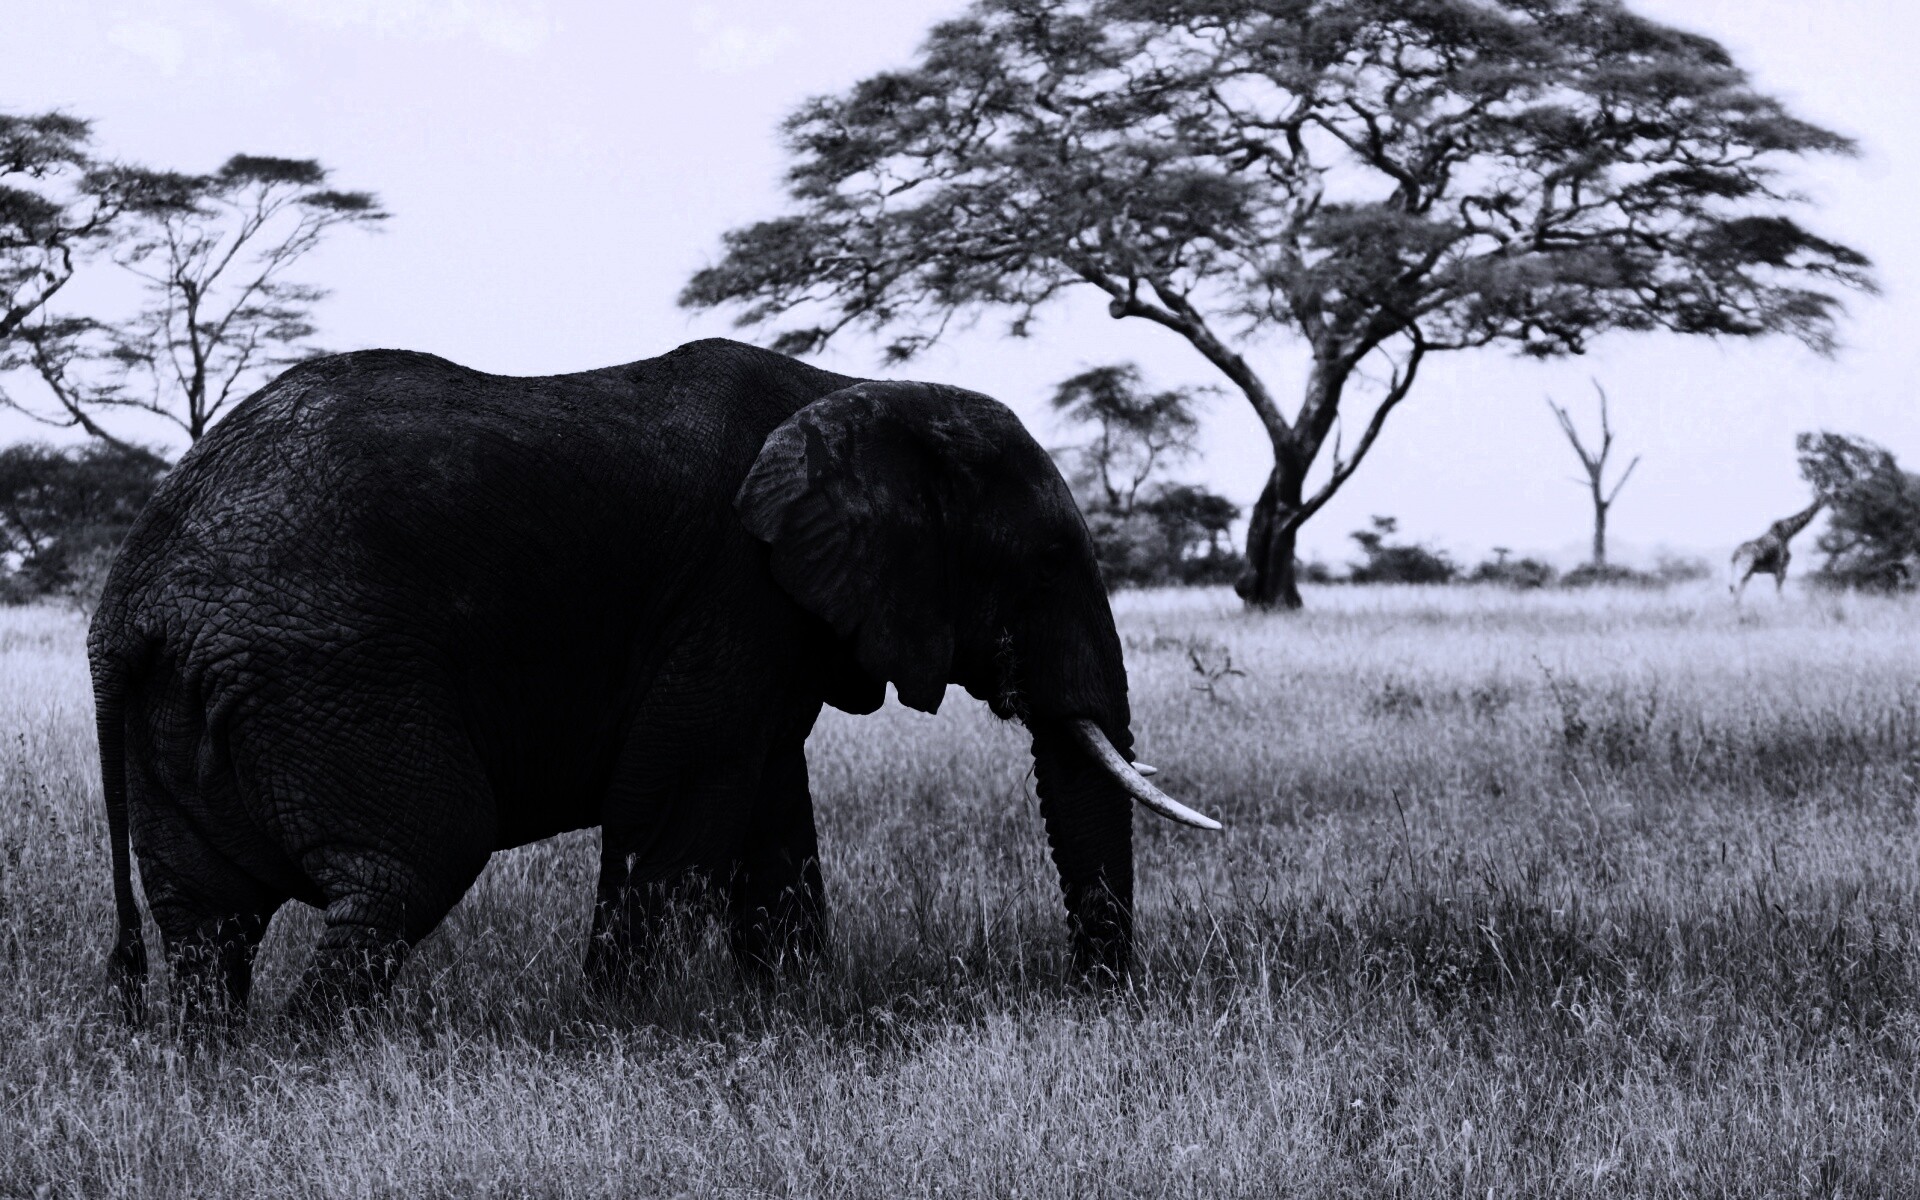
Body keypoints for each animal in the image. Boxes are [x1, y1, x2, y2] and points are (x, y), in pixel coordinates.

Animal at [91, 337, 1218, 1023]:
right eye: (1045, 562)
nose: (1095, 999)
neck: (852, 392)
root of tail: (129, 596)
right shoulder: (733, 593)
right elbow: (673, 807)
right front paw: (619, 1030)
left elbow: (769, 815)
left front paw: (794, 1014)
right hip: (328, 675)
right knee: (409, 863)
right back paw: (315, 1061)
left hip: (197, 705)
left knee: (207, 921)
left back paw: (221, 1066)